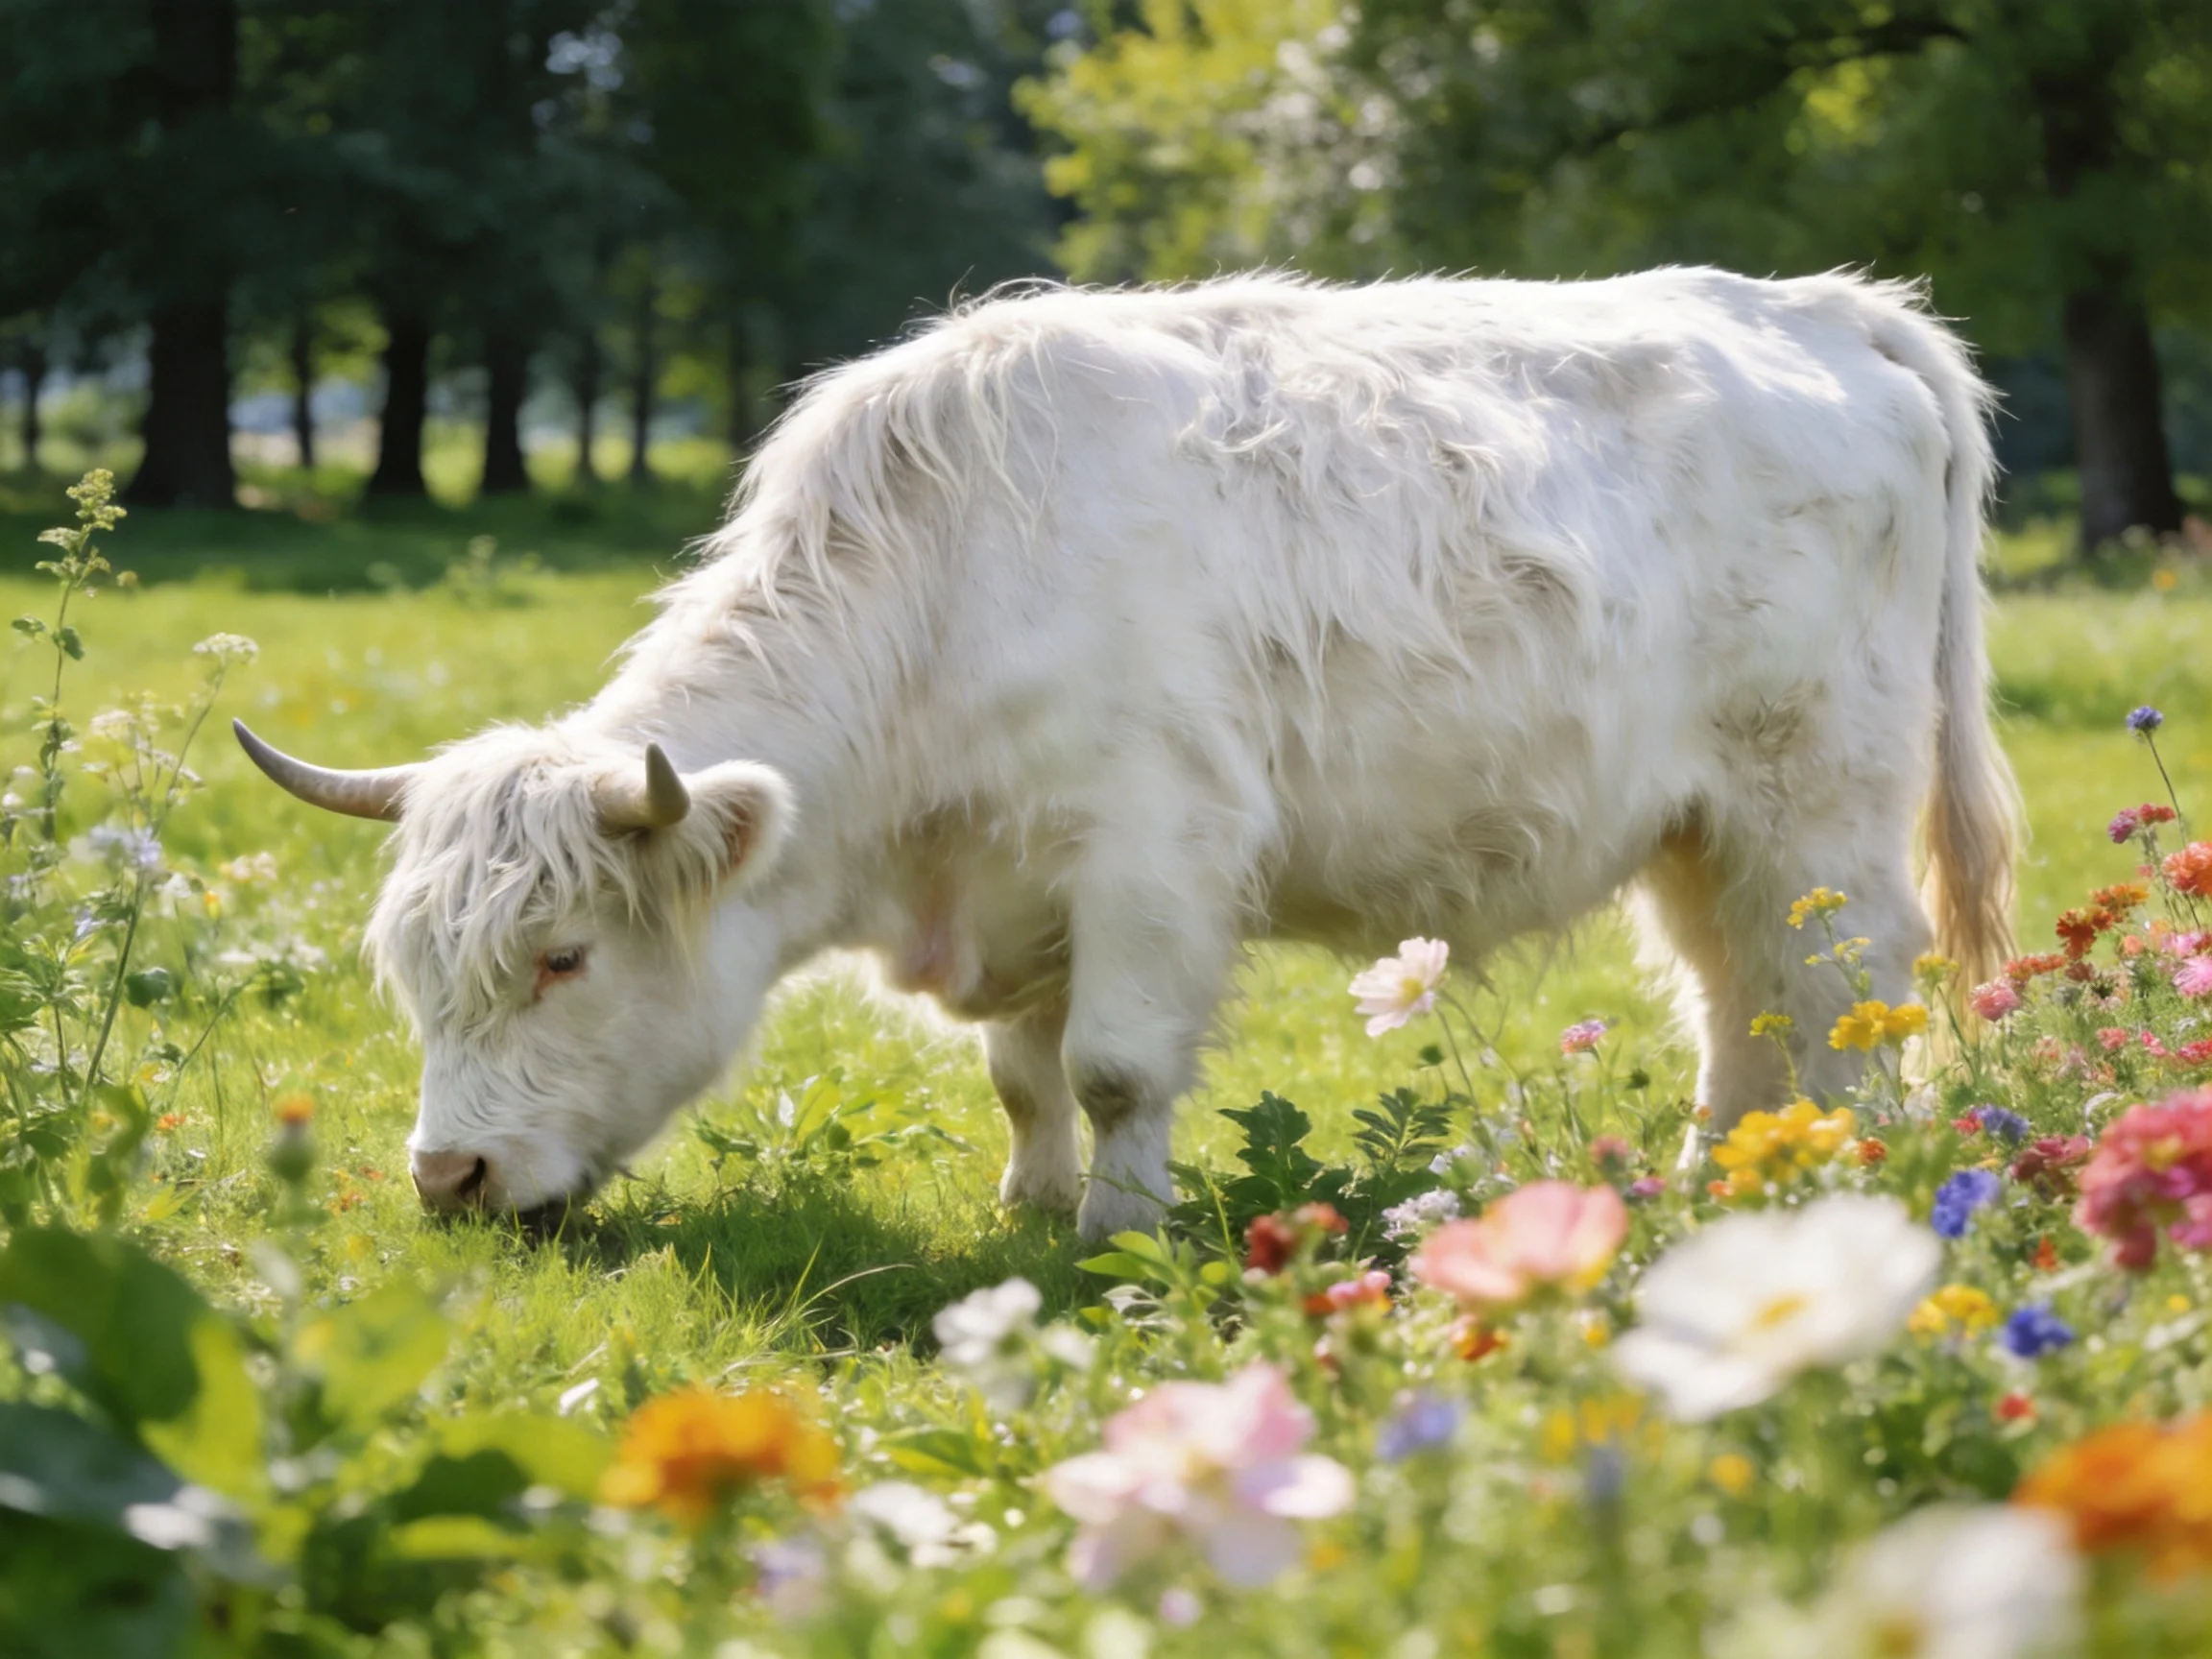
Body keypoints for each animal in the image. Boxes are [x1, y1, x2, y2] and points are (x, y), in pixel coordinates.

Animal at [235, 269, 2017, 1241]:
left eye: (559, 957)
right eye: (413, 972)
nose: (448, 1175)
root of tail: (1819, 308)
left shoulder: (1152, 855)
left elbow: (1109, 1067)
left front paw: (1121, 1227)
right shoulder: (1015, 886)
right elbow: (1022, 1072)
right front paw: (1026, 1206)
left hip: (1819, 799)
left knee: (1843, 985)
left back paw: (1843, 1168)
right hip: (1699, 826)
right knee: (1735, 996)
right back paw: (1718, 1176)